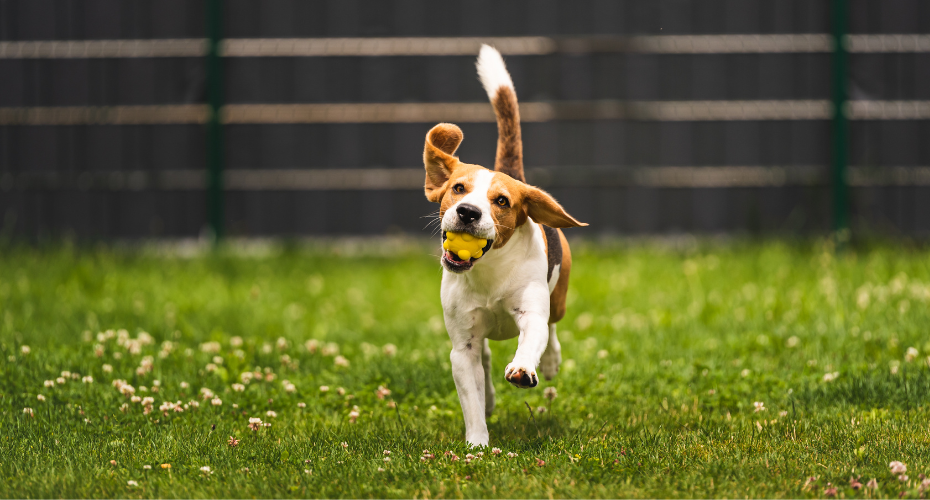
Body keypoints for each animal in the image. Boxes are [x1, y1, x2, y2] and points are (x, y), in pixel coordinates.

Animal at [422, 46, 584, 446]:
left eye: (502, 201)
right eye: (458, 188)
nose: (467, 212)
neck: (488, 272)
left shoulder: (531, 314)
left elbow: (533, 337)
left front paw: (525, 368)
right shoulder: (461, 347)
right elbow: (471, 397)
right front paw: (477, 443)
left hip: (558, 297)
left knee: (552, 328)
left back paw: (550, 361)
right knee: (485, 360)